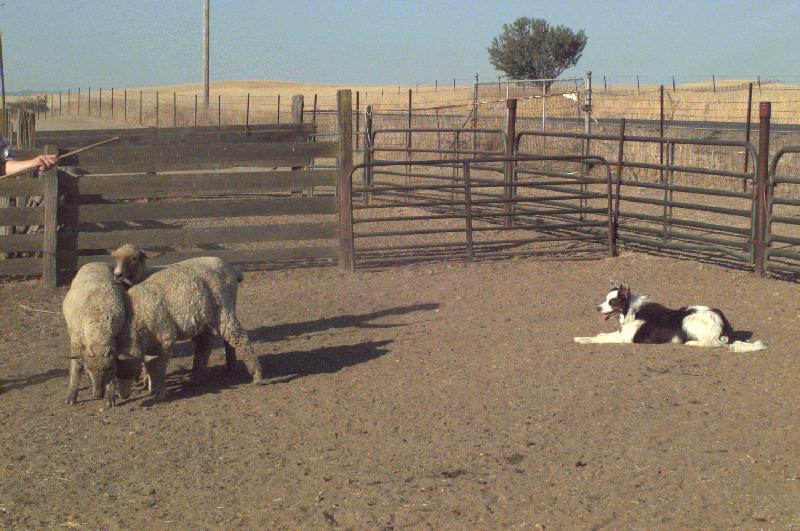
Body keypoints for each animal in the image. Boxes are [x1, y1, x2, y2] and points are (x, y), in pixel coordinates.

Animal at [117, 262, 264, 400]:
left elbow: (159, 367)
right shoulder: (150, 344)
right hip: (204, 320)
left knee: (238, 336)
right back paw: (197, 376)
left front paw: (159, 391)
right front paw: (152, 386)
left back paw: (256, 374)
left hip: (222, 309)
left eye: (129, 373)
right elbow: (150, 365)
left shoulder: (165, 338)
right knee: (206, 343)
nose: (123, 396)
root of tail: (214, 270)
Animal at [572, 282, 764, 354]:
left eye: (612, 302)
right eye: (605, 299)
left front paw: (581, 339)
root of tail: (722, 321)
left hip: (688, 319)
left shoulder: (626, 338)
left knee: (716, 343)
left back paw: (692, 343)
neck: (630, 310)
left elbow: (599, 338)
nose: (597, 307)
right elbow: (602, 335)